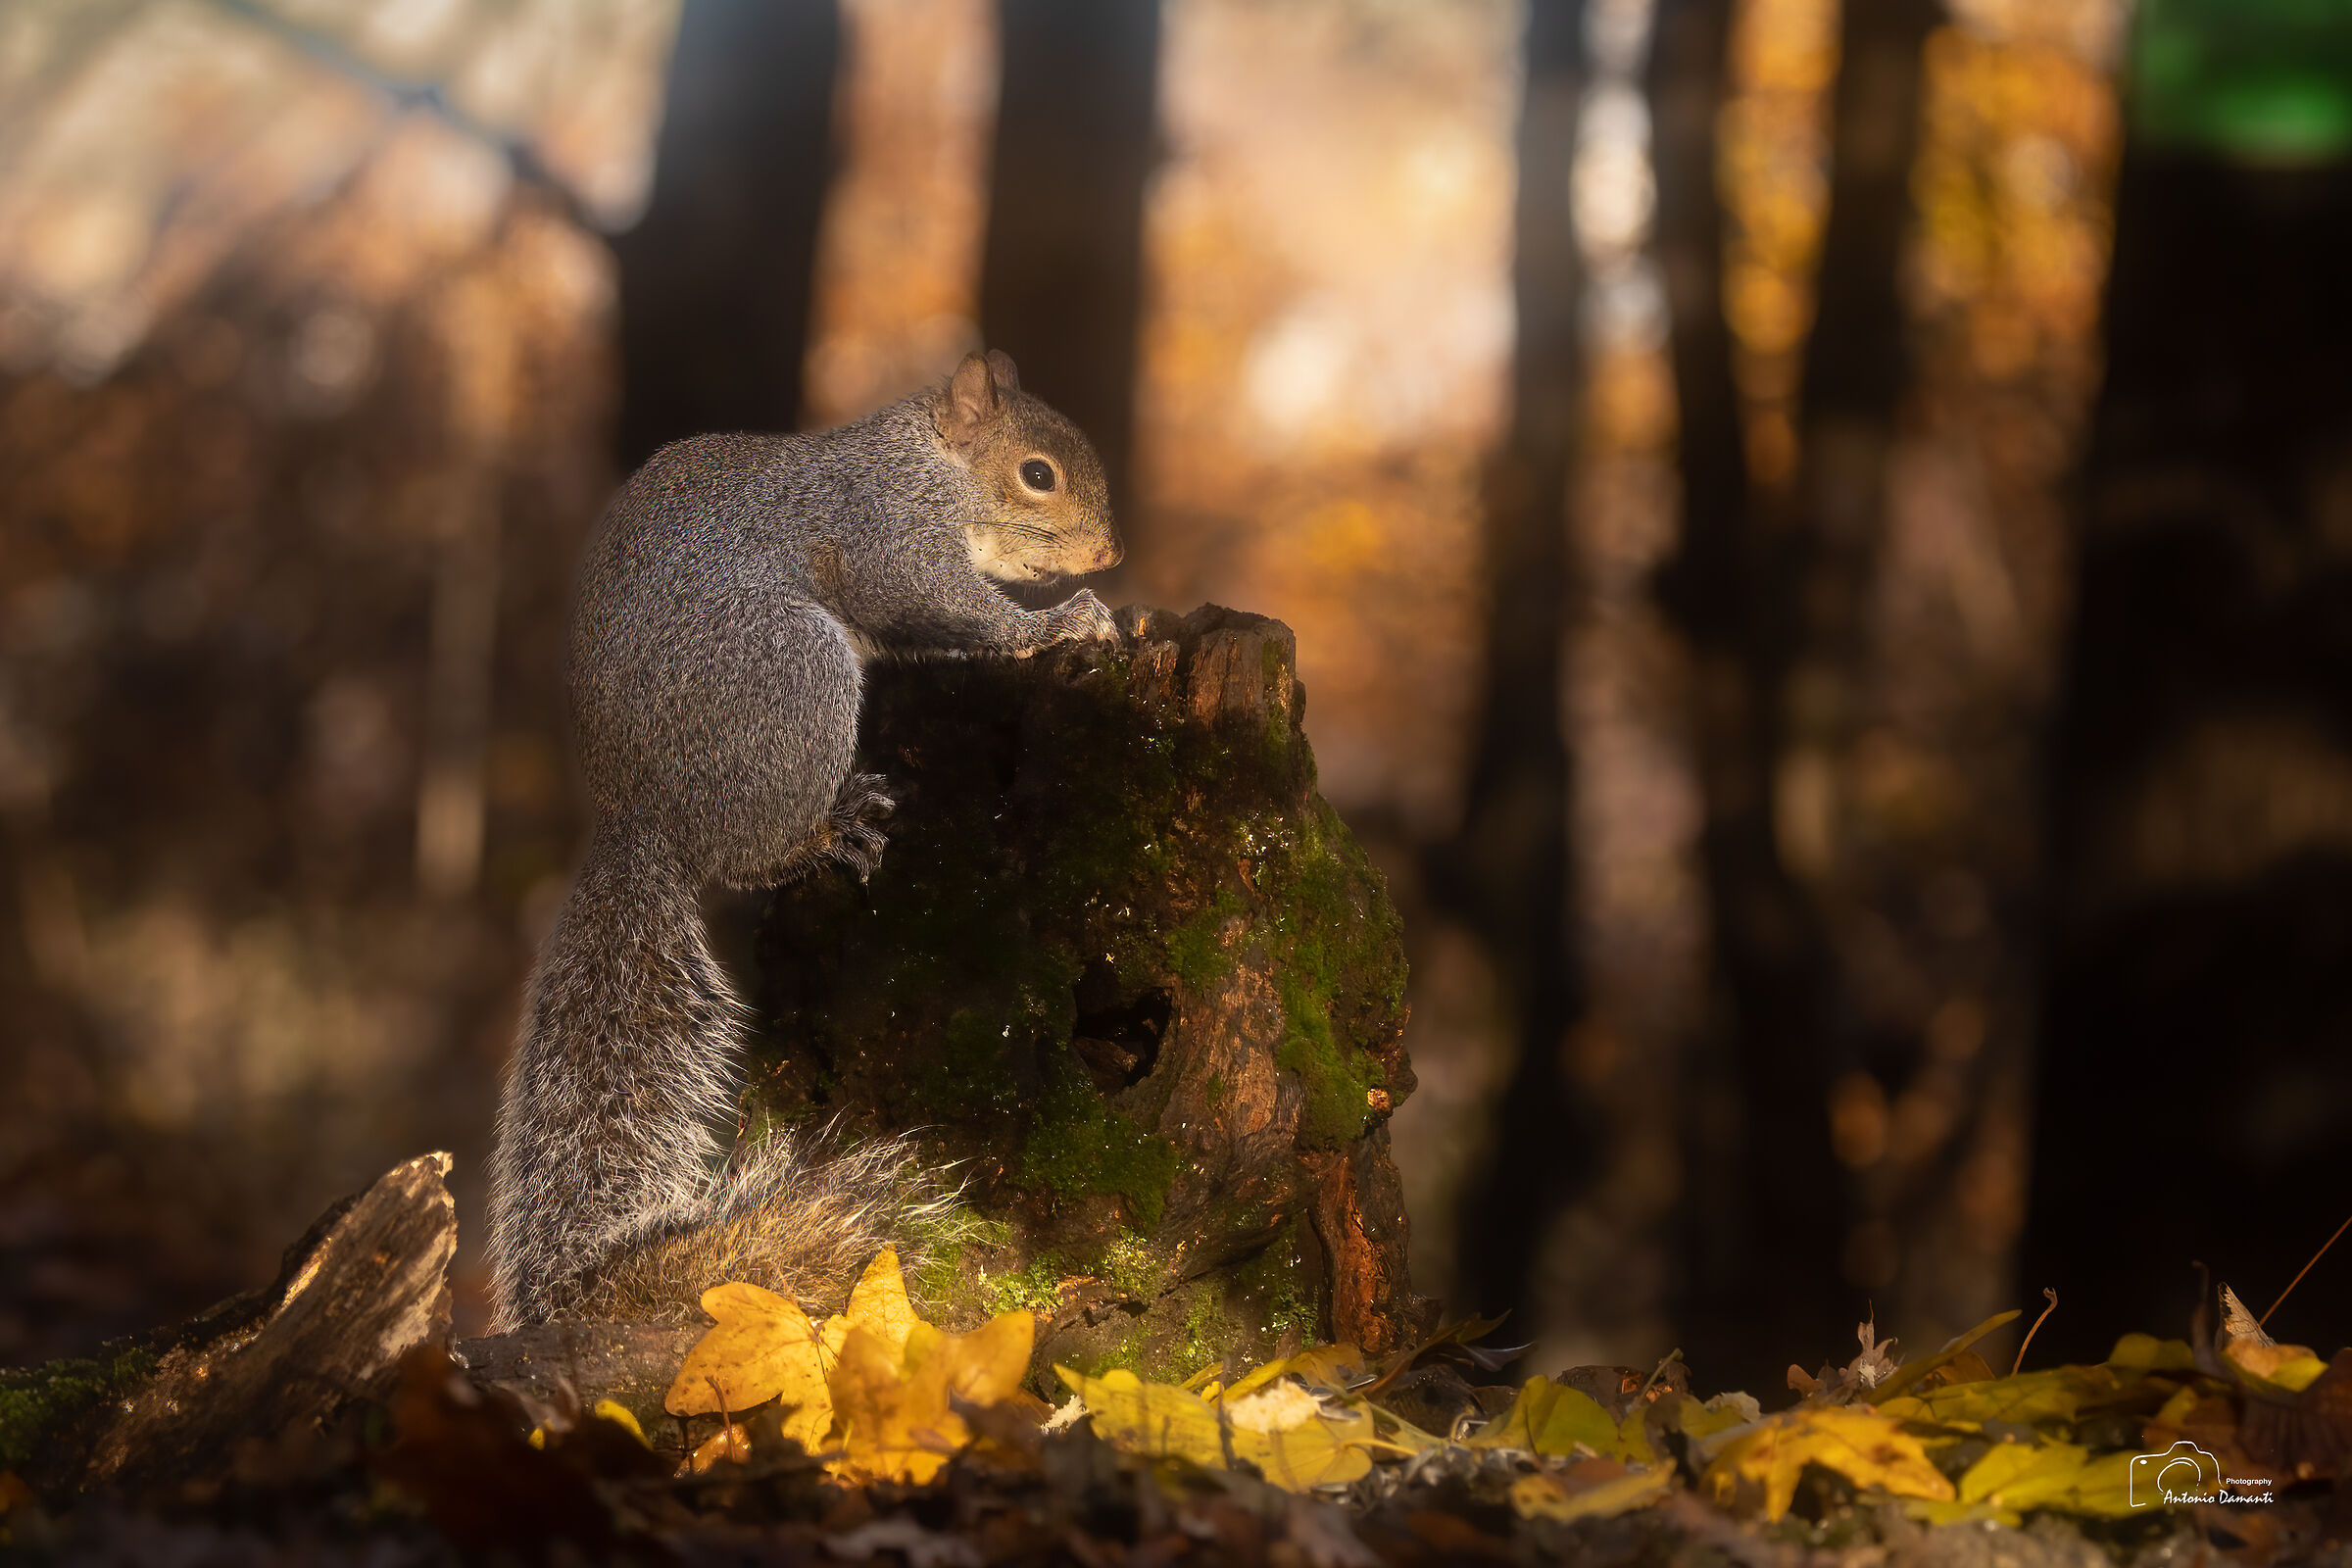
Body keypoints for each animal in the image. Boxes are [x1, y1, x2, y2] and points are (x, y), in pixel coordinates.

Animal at [485, 350, 1124, 1331]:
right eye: (1038, 474)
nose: (1109, 554)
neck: (927, 466)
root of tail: (645, 814)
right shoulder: (889, 542)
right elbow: (948, 608)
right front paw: (1063, 621)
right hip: (792, 670)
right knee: (755, 853)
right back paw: (829, 830)